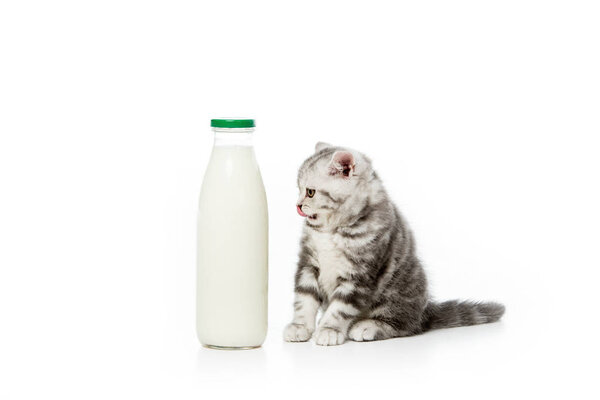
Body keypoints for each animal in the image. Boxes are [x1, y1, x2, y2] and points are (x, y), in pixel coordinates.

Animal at [284, 142, 504, 346]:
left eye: (310, 192)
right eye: (298, 189)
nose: (297, 205)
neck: (333, 230)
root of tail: (426, 311)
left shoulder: (360, 273)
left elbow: (341, 308)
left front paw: (329, 329)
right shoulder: (308, 263)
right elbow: (304, 298)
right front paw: (300, 326)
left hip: (396, 292)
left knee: (404, 324)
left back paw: (368, 326)